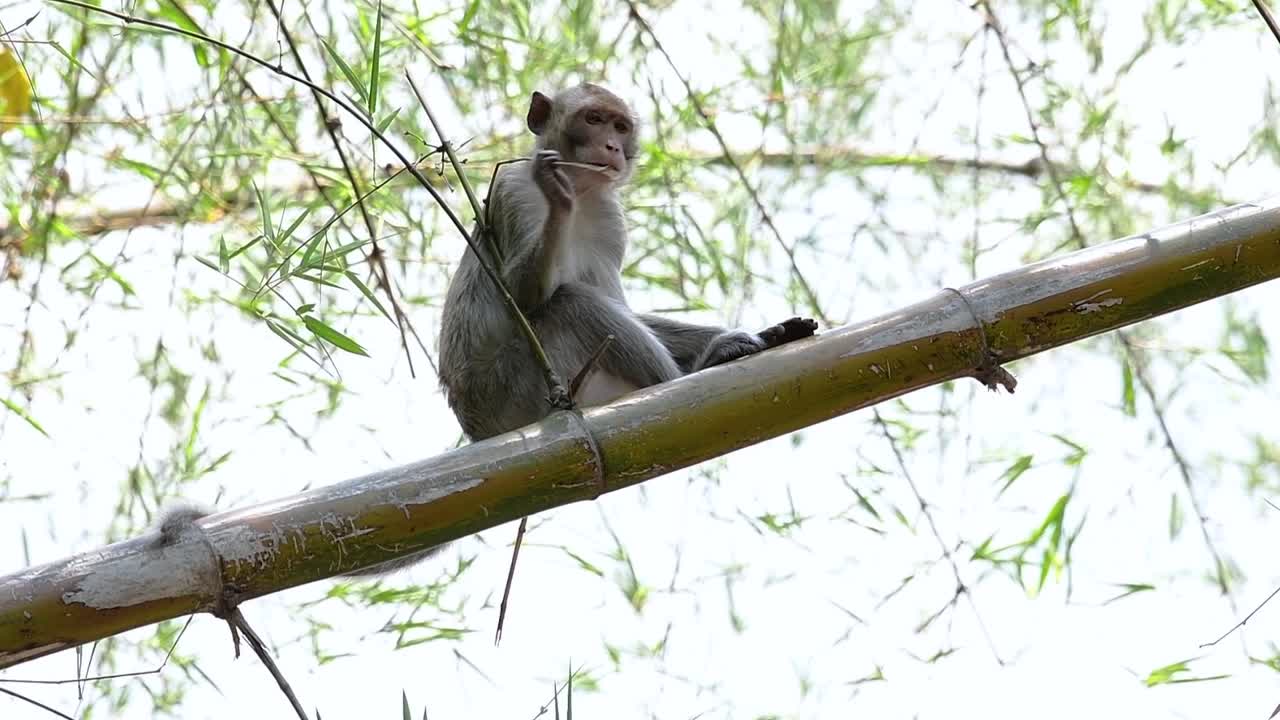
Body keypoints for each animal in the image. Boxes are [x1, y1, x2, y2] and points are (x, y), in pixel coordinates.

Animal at [346, 84, 815, 576]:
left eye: (620, 127)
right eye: (593, 120)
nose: (611, 147)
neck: (586, 192)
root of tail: (480, 434)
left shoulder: (611, 222)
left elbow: (617, 302)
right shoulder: (514, 189)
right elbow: (525, 297)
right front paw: (559, 199)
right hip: (517, 390)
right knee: (568, 302)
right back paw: (690, 375)